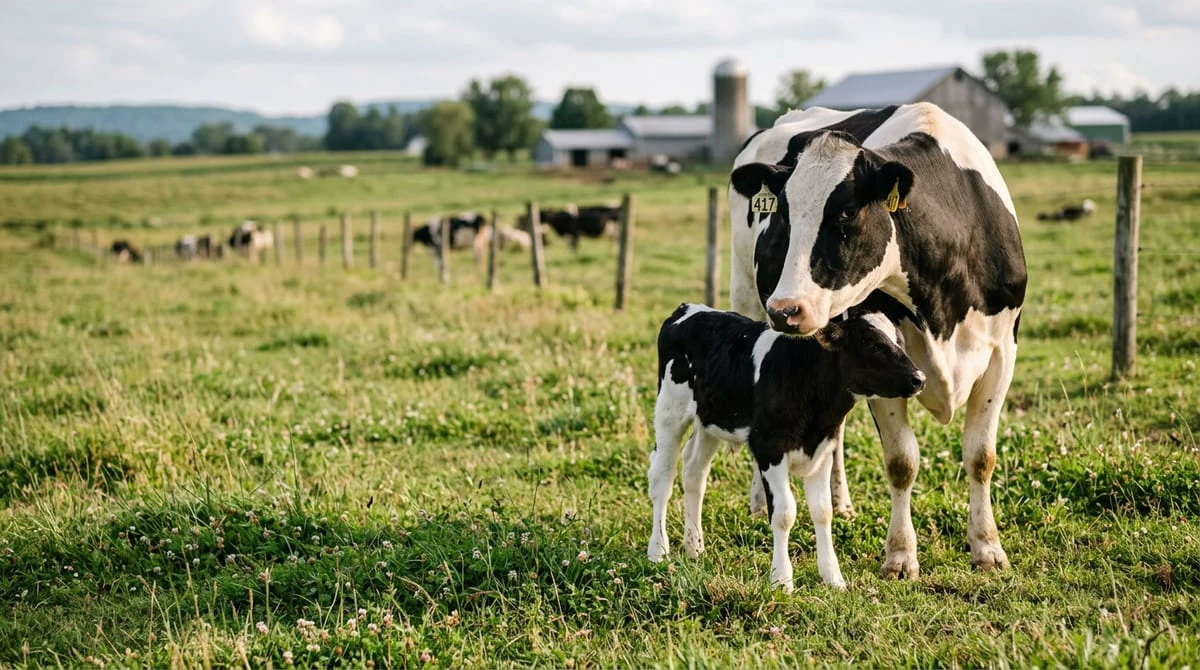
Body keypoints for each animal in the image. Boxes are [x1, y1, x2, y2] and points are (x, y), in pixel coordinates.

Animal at [648, 304, 925, 591]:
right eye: (870, 343)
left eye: (900, 341)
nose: (919, 378)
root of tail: (689, 308)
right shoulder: (769, 449)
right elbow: (784, 512)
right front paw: (781, 580)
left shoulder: (823, 452)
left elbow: (823, 511)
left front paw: (833, 578)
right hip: (669, 410)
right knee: (662, 478)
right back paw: (658, 551)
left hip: (709, 420)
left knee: (694, 473)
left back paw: (694, 547)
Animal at [728, 102, 1027, 579]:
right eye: (784, 215)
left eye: (847, 212)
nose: (785, 309)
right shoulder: (883, 361)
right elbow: (902, 462)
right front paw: (901, 556)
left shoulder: (1002, 355)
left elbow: (981, 456)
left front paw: (987, 547)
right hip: (746, 297)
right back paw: (761, 502)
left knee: (833, 428)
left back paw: (839, 502)